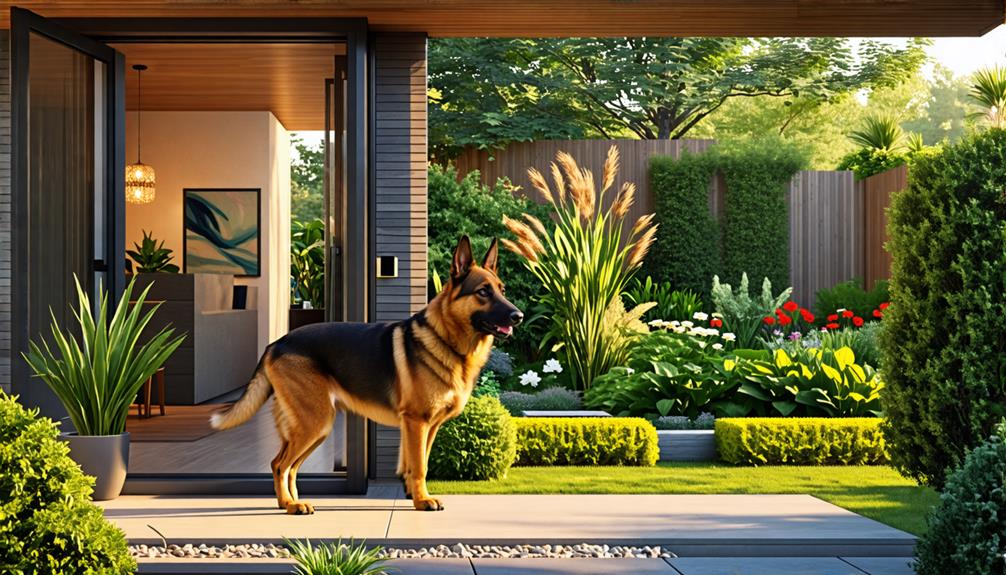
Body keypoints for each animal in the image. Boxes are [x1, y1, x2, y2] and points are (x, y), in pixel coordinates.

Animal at [212, 236, 527, 514]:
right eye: (483, 292)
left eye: (502, 289)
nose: (519, 316)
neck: (446, 338)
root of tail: (276, 343)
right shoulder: (417, 422)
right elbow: (420, 466)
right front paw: (423, 501)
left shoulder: (427, 427)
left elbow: (417, 463)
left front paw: (414, 496)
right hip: (316, 422)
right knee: (280, 464)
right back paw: (291, 505)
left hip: (312, 427)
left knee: (288, 466)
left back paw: (290, 502)